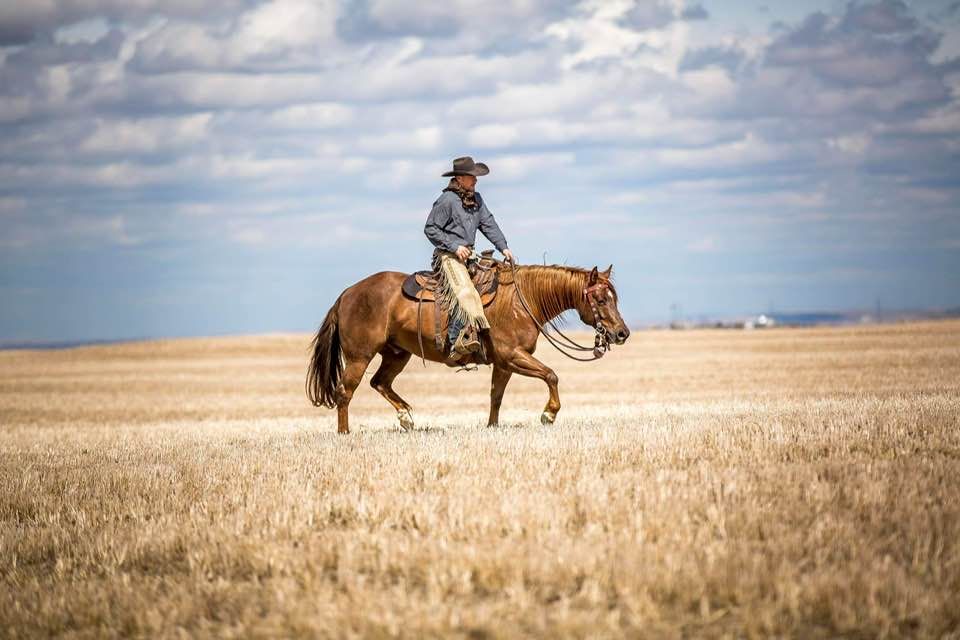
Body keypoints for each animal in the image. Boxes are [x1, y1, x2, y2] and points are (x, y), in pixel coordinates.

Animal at [304, 262, 628, 436]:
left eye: (614, 298)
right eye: (600, 300)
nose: (621, 333)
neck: (521, 300)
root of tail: (347, 293)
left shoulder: (504, 364)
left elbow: (496, 395)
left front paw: (492, 426)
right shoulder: (513, 356)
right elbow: (551, 375)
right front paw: (549, 414)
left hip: (397, 354)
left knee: (379, 382)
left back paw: (406, 417)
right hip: (359, 356)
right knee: (345, 391)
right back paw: (345, 433)